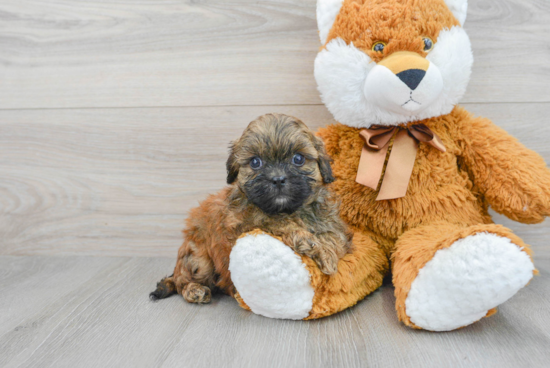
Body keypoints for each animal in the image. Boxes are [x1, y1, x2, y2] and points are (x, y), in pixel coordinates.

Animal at [150, 113, 354, 304]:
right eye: (256, 162)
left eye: (298, 159)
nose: (278, 179)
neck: (288, 210)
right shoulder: (243, 225)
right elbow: (276, 223)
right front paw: (309, 241)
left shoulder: (332, 224)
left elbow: (334, 238)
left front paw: (326, 254)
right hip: (199, 258)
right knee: (181, 281)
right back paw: (194, 290)